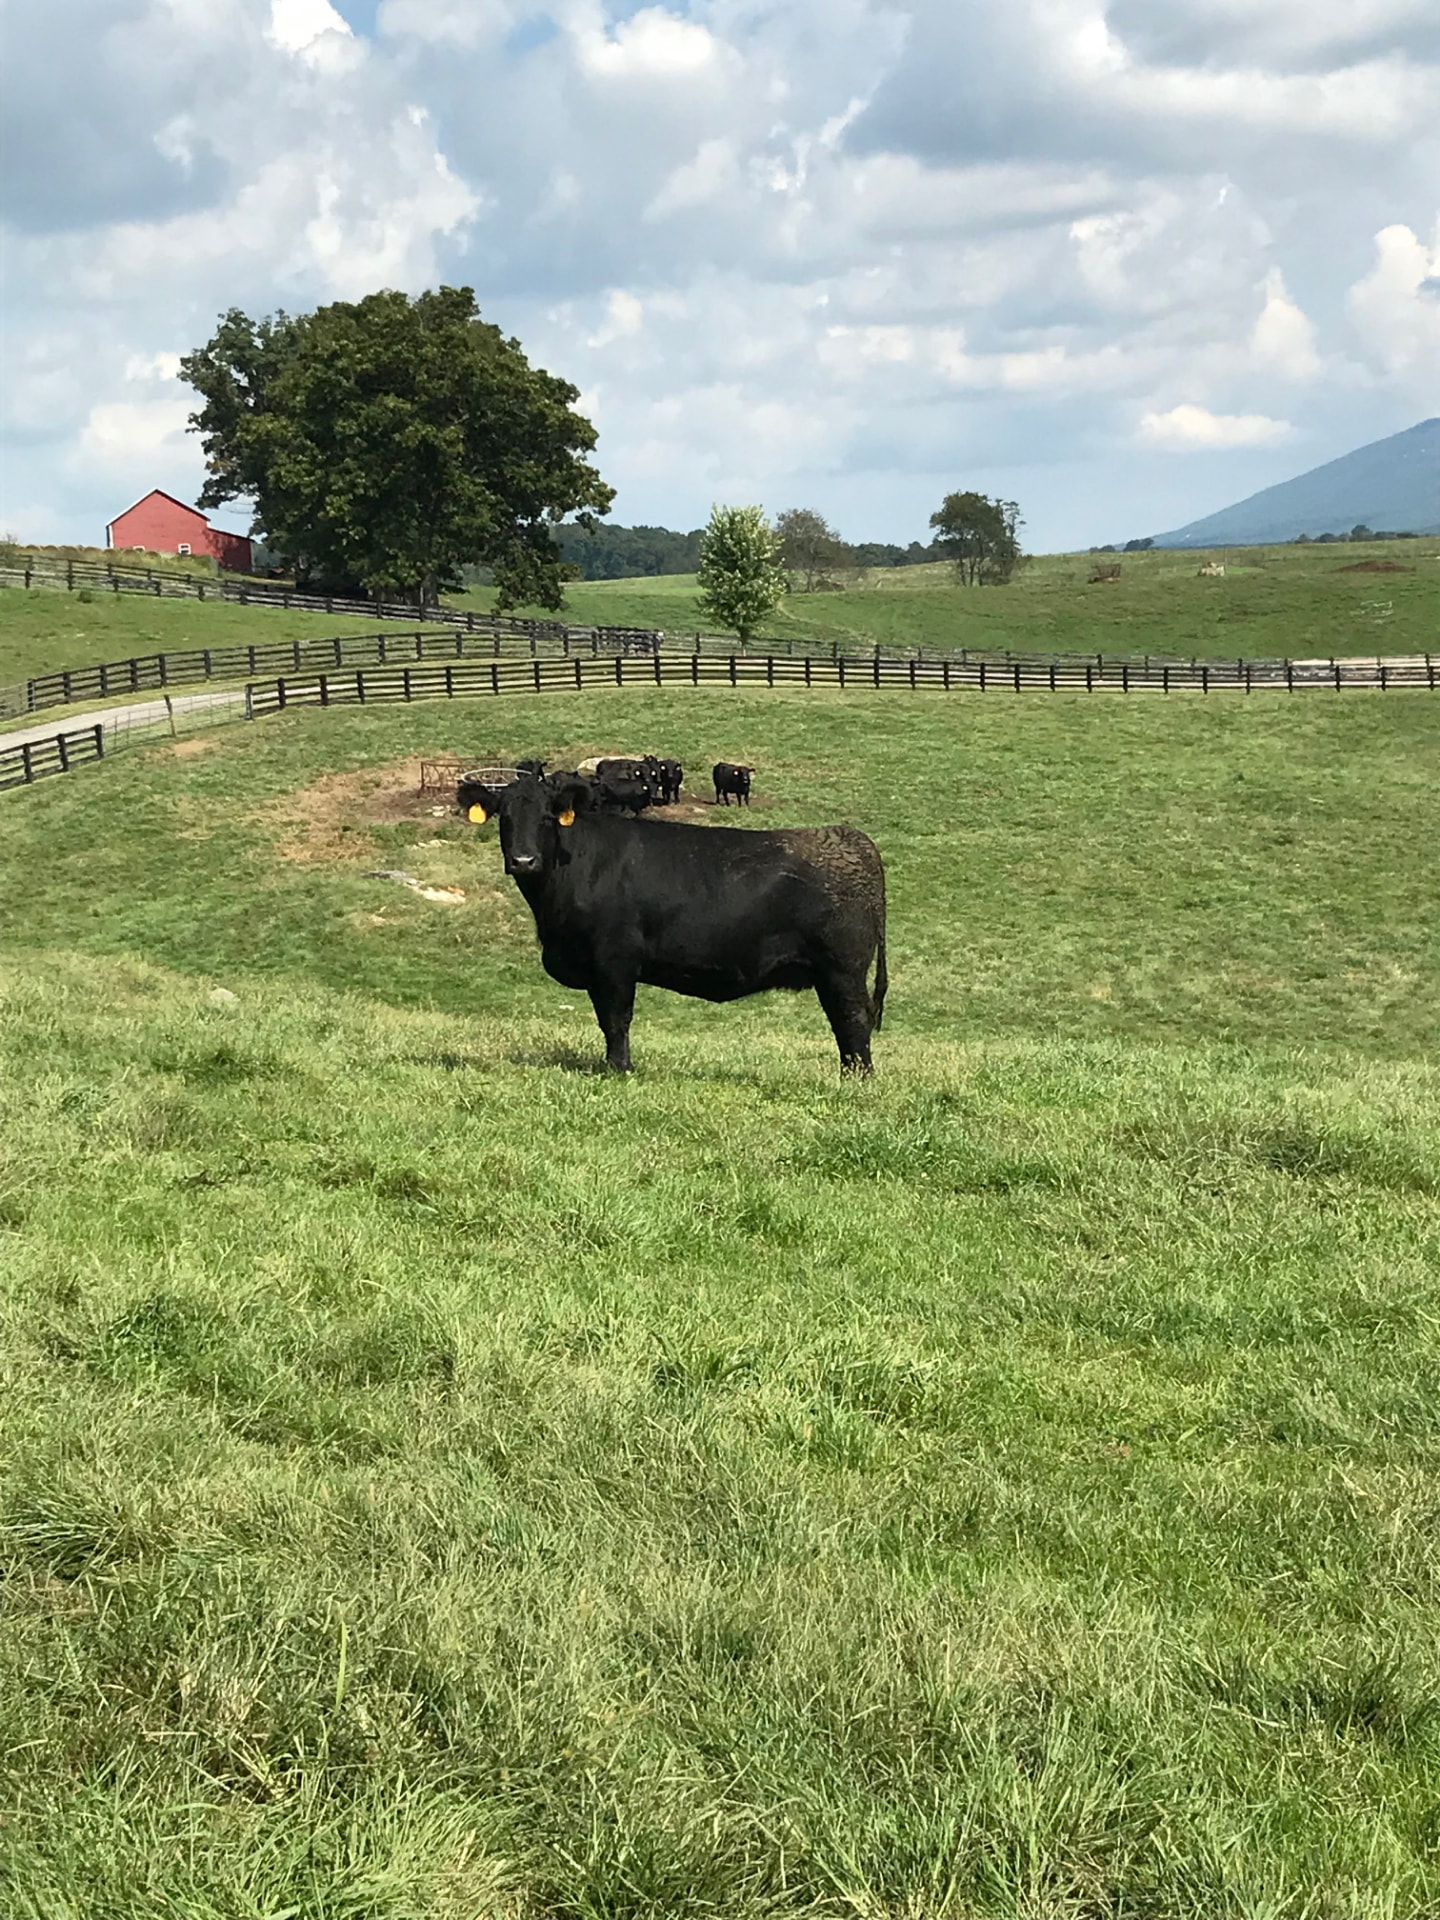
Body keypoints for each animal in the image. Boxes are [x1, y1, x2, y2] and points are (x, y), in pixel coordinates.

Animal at [464, 774, 887, 1075]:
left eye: (547, 817)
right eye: (504, 817)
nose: (524, 860)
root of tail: (849, 837)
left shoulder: (615, 960)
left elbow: (616, 1019)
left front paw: (619, 1070)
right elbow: (605, 1020)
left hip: (842, 969)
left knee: (851, 1022)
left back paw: (857, 1080)